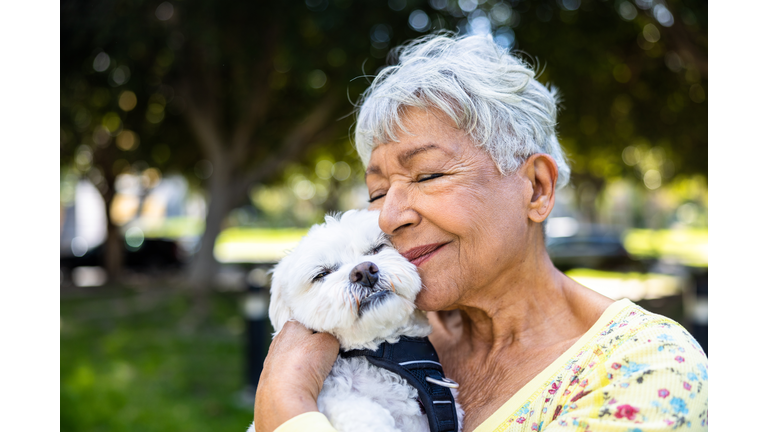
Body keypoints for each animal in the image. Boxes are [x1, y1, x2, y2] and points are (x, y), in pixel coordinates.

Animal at [249, 208, 462, 430]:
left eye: (377, 248)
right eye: (321, 274)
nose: (365, 270)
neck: (377, 348)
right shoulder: (336, 400)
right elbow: (362, 413)